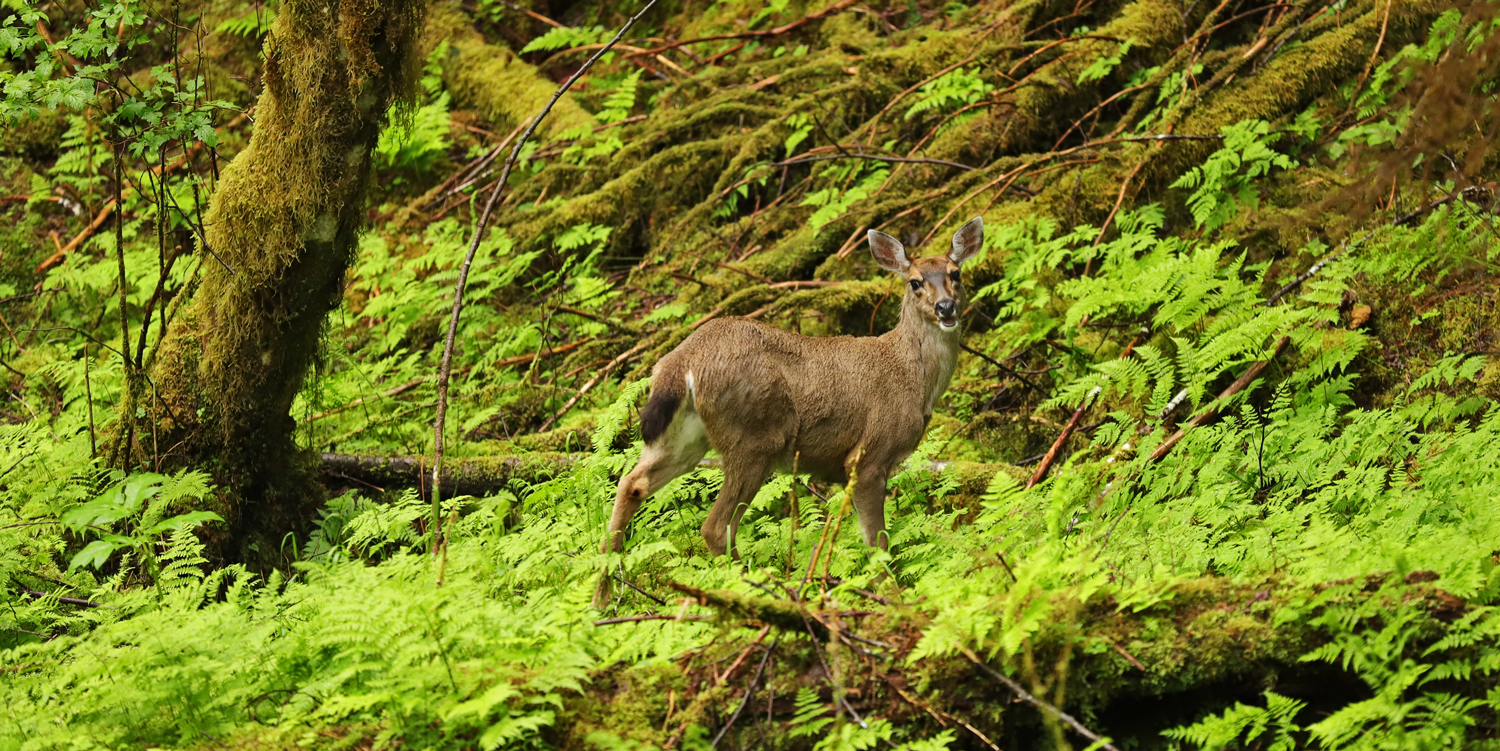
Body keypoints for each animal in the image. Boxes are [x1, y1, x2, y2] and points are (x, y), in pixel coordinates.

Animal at [597, 215, 984, 602]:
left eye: (956, 273)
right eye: (915, 281)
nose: (945, 307)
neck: (913, 378)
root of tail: (684, 358)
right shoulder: (869, 456)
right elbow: (877, 542)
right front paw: (893, 598)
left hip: (689, 437)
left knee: (631, 484)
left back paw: (602, 597)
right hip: (754, 438)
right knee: (715, 526)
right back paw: (766, 589)